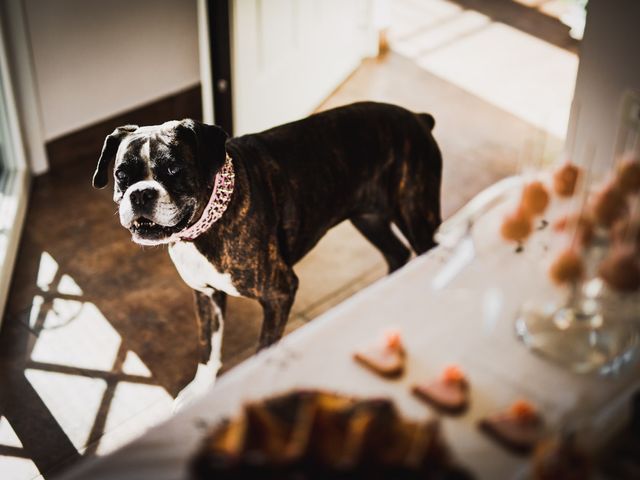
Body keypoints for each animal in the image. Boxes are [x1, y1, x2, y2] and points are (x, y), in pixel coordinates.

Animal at [94, 101, 440, 404]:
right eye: (121, 175)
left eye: (173, 169)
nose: (141, 193)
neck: (206, 224)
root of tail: (417, 118)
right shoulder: (206, 296)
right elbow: (208, 348)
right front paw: (200, 389)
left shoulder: (279, 292)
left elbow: (263, 349)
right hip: (369, 219)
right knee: (397, 254)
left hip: (415, 216)